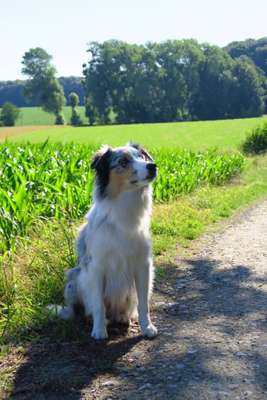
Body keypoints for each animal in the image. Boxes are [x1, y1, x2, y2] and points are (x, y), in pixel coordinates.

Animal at [59, 142, 158, 340]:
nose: (152, 166)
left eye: (142, 157)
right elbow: (98, 304)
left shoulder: (143, 265)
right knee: (78, 309)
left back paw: (123, 317)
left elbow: (144, 303)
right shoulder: (96, 267)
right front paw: (98, 331)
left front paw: (147, 327)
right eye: (123, 162)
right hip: (74, 278)